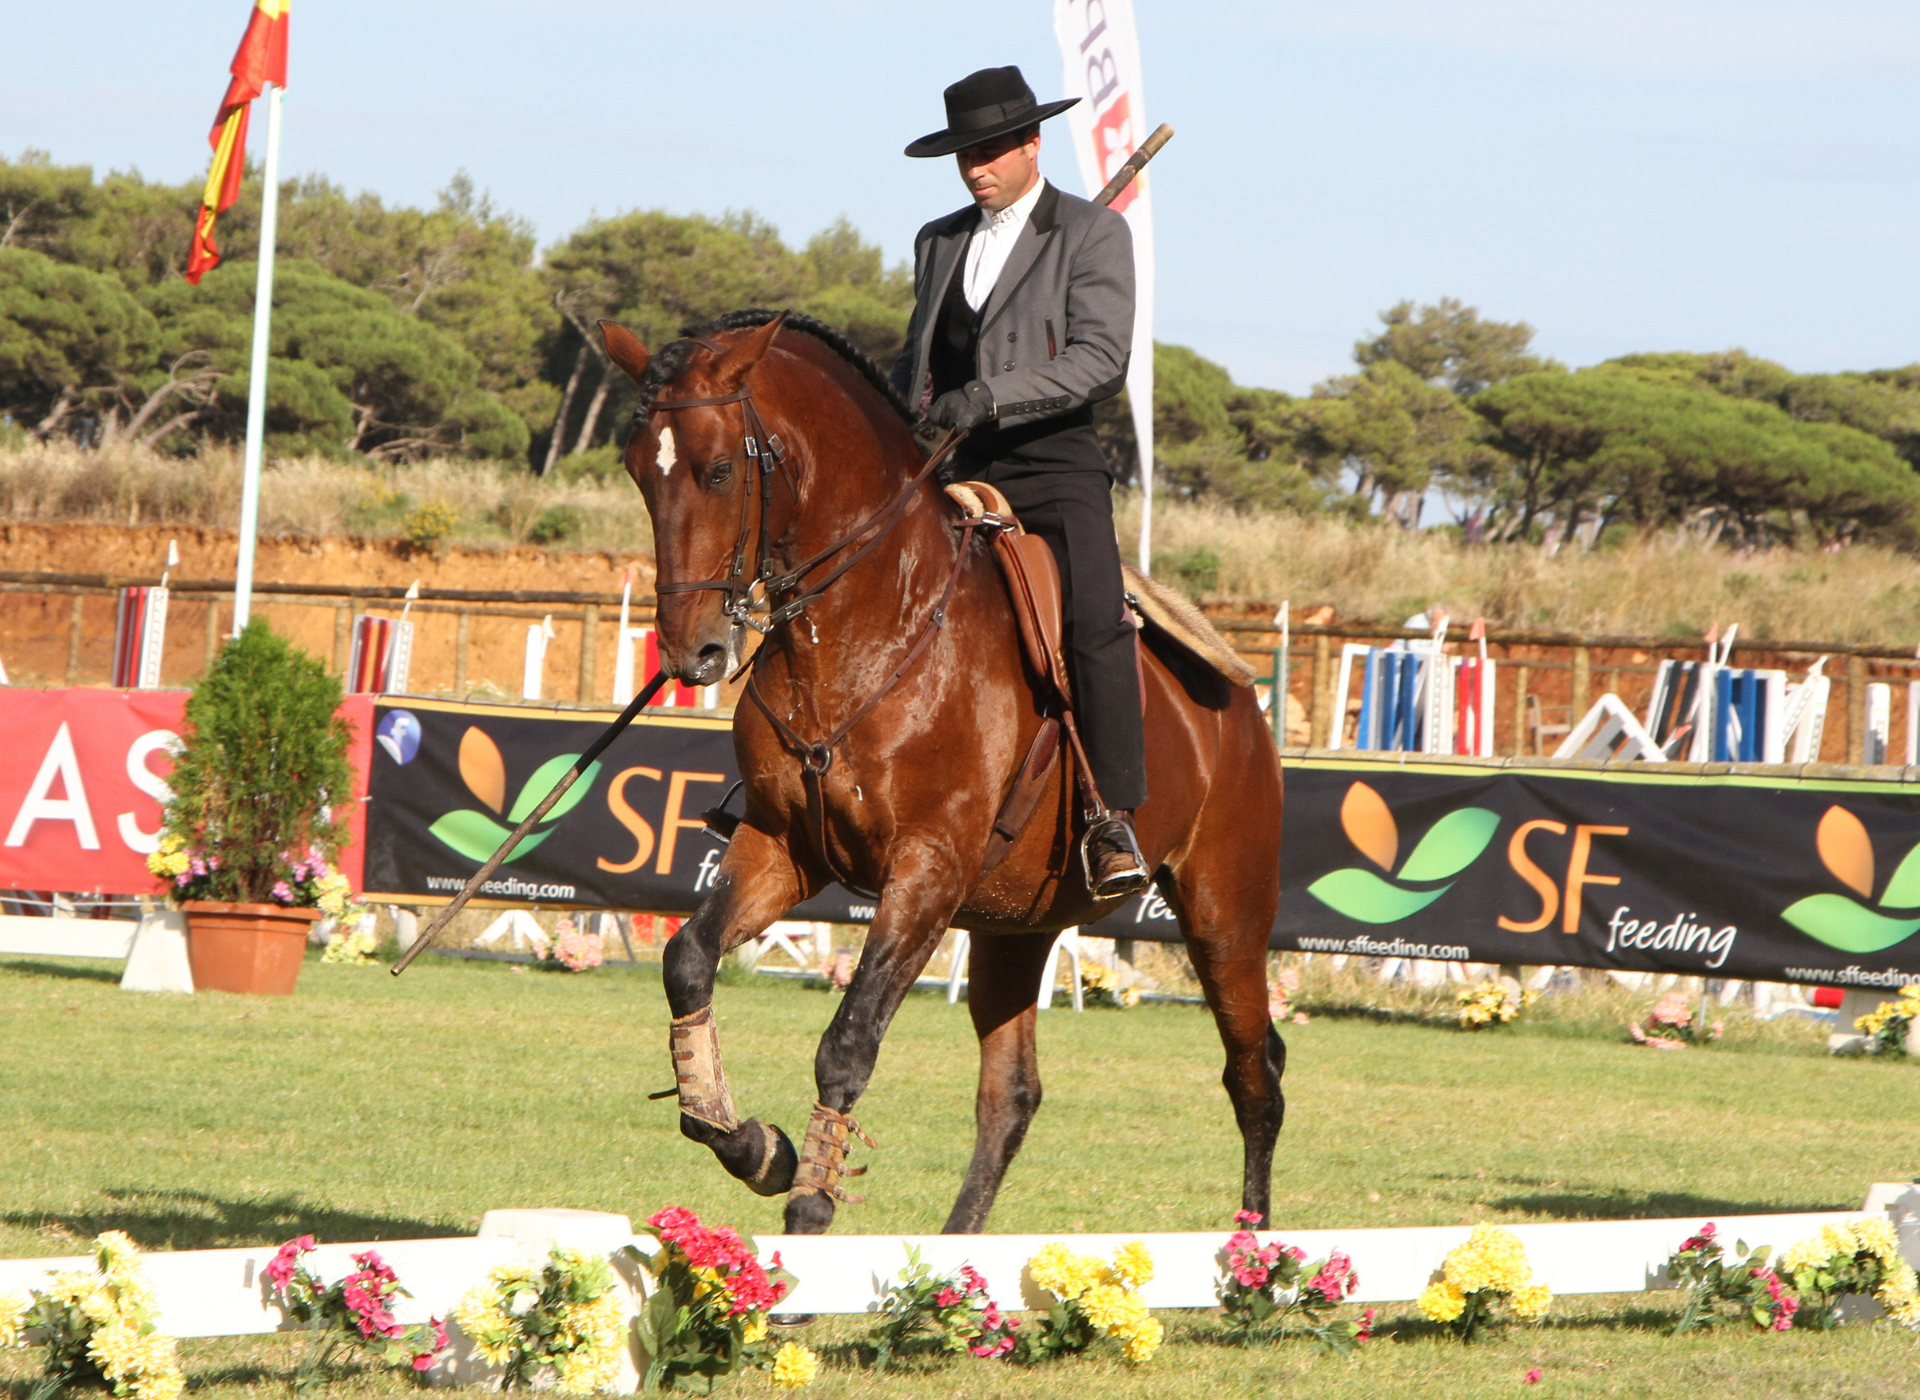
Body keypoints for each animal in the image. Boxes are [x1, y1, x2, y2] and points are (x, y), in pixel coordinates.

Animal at [596, 308, 1285, 1237]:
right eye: (640, 472)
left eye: (716, 470)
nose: (692, 653)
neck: (868, 622)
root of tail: (1236, 692)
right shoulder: (781, 847)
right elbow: (687, 962)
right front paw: (753, 1144)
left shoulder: (925, 871)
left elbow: (847, 1043)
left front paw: (808, 1203)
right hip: (1015, 928)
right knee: (1012, 1096)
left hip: (1225, 914)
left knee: (1254, 1076)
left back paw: (1258, 1252)